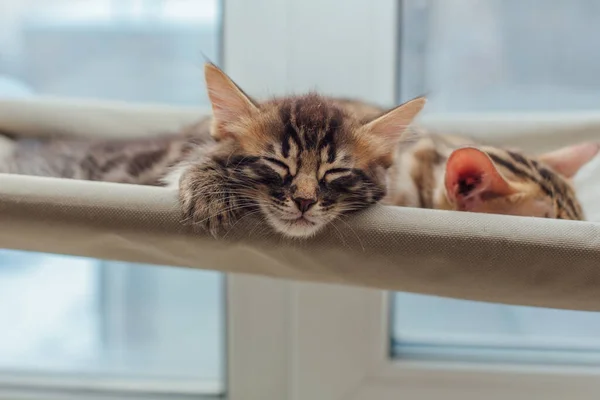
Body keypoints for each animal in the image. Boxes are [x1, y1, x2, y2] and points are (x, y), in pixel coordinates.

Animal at [0, 62, 426, 238]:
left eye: (335, 172)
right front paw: (210, 192)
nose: (305, 201)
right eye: (276, 162)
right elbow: (200, 160)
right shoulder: (185, 150)